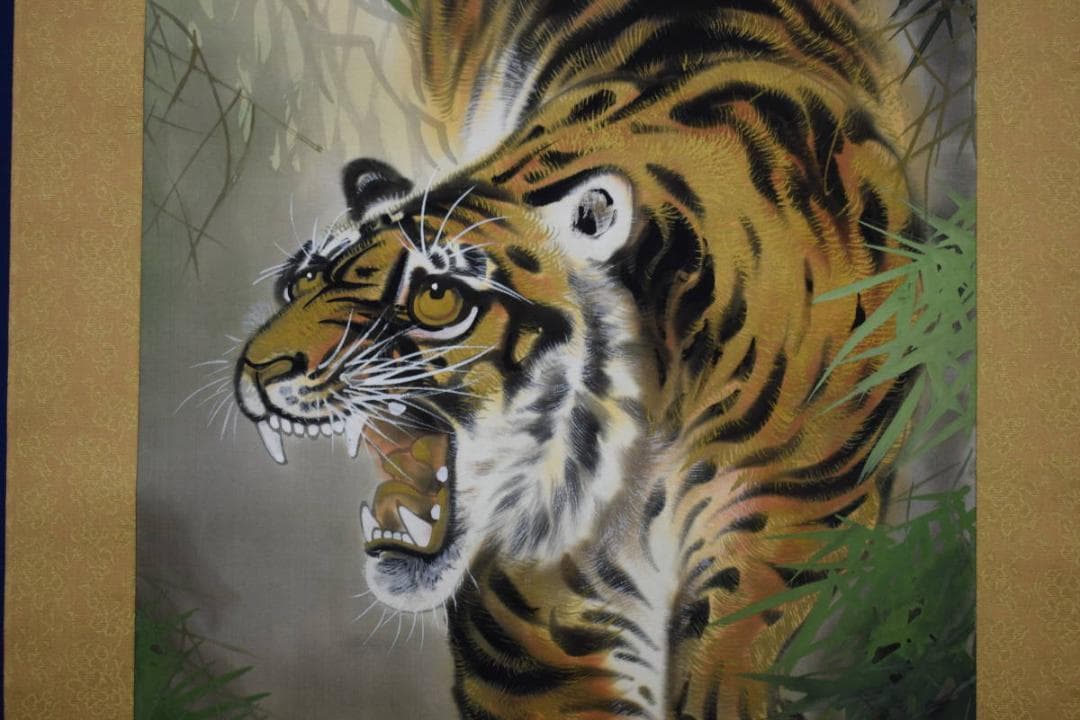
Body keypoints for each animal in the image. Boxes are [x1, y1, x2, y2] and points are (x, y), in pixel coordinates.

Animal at [233, 1, 917, 717]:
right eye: (301, 283)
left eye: (436, 296)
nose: (257, 368)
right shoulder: (534, 609)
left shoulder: (796, 511)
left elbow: (728, 652)